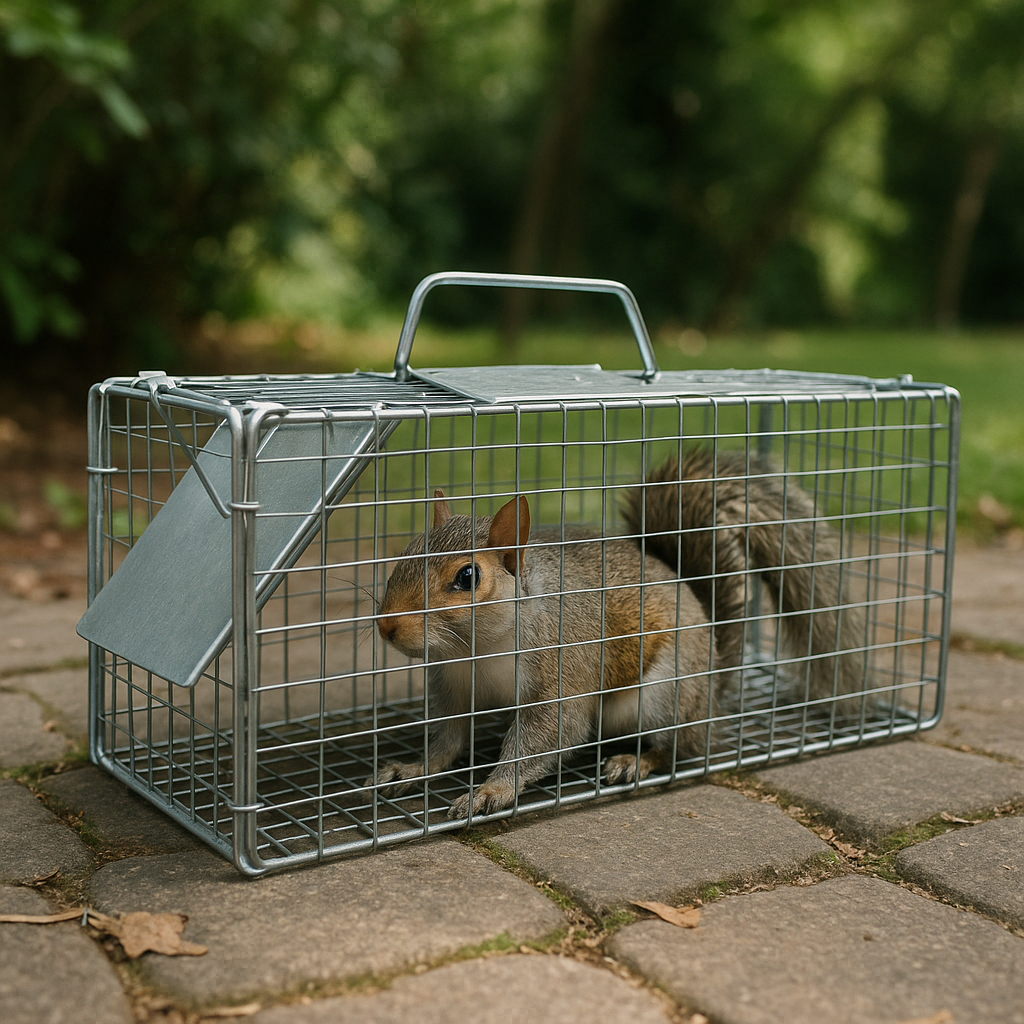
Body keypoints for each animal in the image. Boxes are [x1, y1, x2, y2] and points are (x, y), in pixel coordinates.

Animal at [371, 448, 866, 821]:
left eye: (468, 577)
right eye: (406, 553)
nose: (386, 625)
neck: (478, 649)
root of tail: (713, 683)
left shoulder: (562, 670)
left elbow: (548, 734)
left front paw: (491, 791)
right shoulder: (454, 686)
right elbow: (447, 738)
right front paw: (414, 767)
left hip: (667, 693)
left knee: (679, 747)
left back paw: (636, 761)